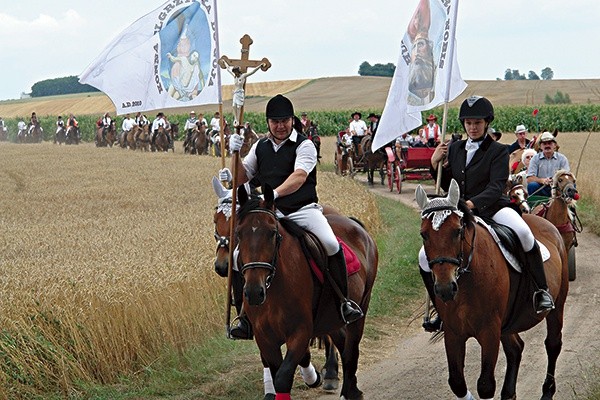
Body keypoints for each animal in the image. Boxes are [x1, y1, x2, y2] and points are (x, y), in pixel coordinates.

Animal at [211, 178, 342, 394]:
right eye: (216, 220)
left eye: (234, 223)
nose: (222, 266)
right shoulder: (260, 329)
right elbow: (269, 360)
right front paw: (270, 391)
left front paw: (312, 375)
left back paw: (331, 372)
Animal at [237, 184, 378, 400]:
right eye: (238, 233)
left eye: (272, 233)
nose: (254, 292)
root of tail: (356, 226)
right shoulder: (265, 338)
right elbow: (277, 374)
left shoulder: (300, 332)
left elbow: (283, 377)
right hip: (330, 318)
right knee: (342, 342)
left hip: (362, 306)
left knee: (351, 349)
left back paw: (350, 391)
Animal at [418, 180, 568, 400]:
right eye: (423, 234)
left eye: (457, 230)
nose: (445, 288)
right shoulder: (454, 333)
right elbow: (457, 383)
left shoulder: (489, 331)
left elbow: (485, 386)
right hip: (506, 324)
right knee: (516, 349)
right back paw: (509, 393)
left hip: (558, 304)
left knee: (553, 344)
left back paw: (547, 391)